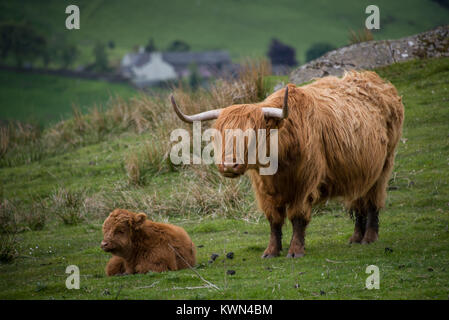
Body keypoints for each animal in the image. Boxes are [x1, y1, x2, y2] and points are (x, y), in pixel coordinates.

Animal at [170, 71, 404, 258]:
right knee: (358, 203)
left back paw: (369, 237)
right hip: (358, 172)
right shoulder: (264, 189)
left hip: (384, 165)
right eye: (218, 135)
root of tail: (376, 81)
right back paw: (355, 237)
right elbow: (274, 220)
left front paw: (295, 251)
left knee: (373, 200)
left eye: (252, 134)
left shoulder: (305, 185)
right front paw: (271, 252)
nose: (228, 165)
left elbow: (297, 217)